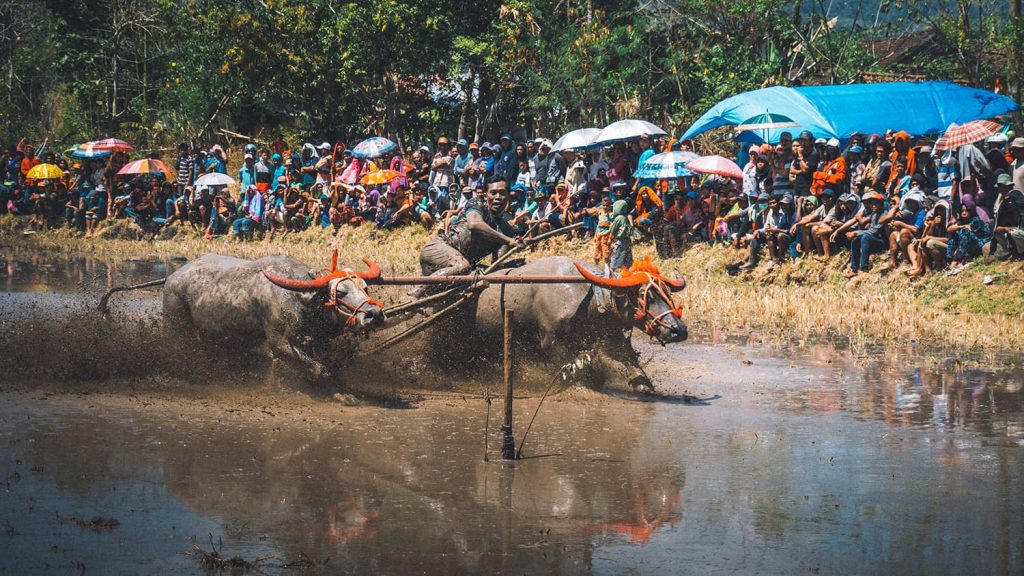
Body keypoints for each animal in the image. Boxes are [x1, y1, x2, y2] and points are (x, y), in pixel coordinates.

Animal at [99, 250, 382, 377]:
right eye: (341, 292)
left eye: (365, 287)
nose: (374, 314)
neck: (303, 299)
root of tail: (171, 278)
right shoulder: (279, 342)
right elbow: (319, 369)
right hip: (177, 326)